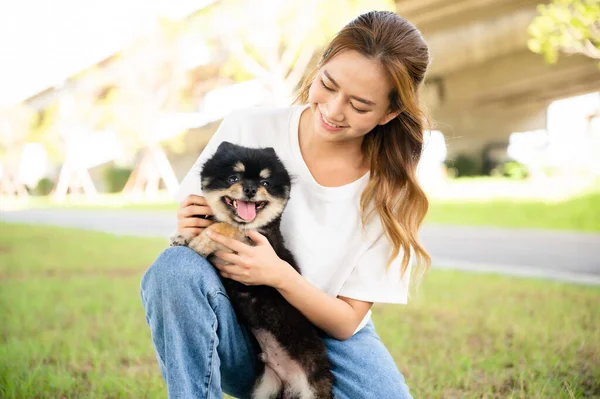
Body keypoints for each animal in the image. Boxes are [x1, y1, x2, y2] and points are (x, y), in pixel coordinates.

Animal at [171, 143, 336, 399]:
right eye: (233, 178)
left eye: (265, 183)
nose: (250, 189)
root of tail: (288, 380)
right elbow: (209, 223)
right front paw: (184, 235)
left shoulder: (258, 241)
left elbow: (225, 226)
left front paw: (200, 241)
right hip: (264, 388)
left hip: (312, 385)